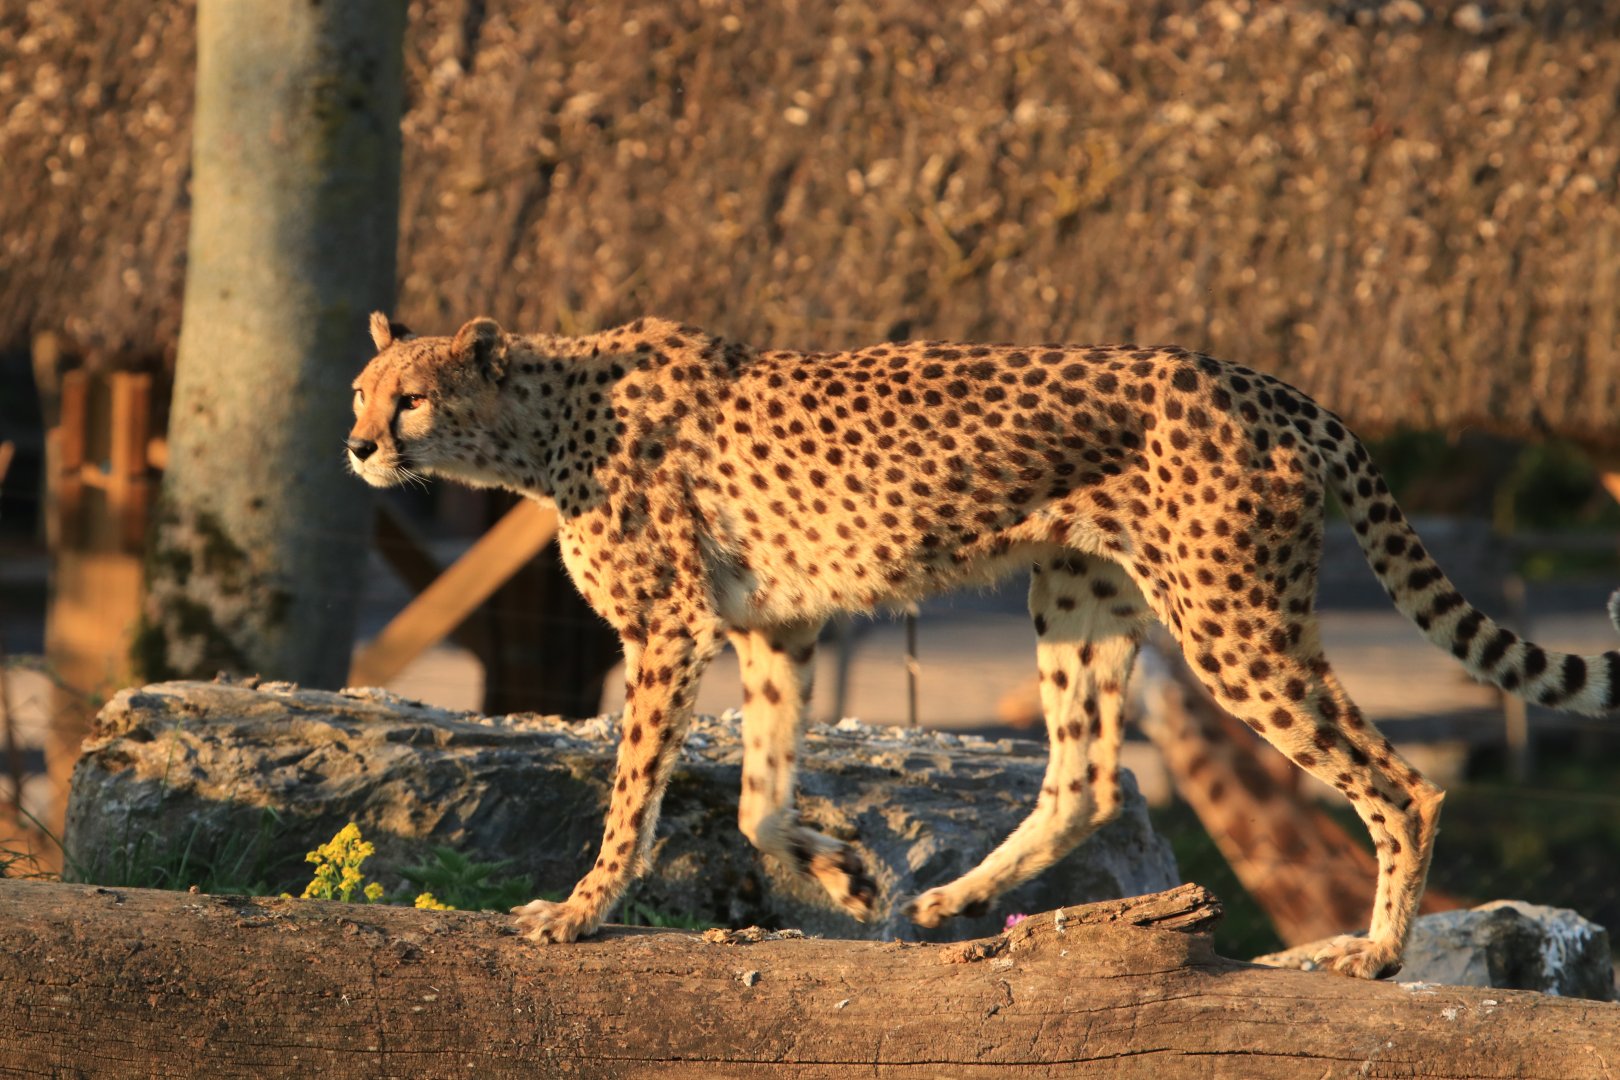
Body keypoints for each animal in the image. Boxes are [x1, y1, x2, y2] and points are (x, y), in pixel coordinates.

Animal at [347, 310, 1620, 979]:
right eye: (361, 389)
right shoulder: (774, 623)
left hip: (1231, 620)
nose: (357, 445)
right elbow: (758, 796)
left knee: (1400, 782)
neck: (540, 419)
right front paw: (848, 874)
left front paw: (578, 911)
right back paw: (952, 902)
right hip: (1081, 595)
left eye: (409, 399)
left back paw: (1374, 952)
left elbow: (635, 791)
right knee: (1087, 777)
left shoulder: (671, 626)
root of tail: (1267, 382)